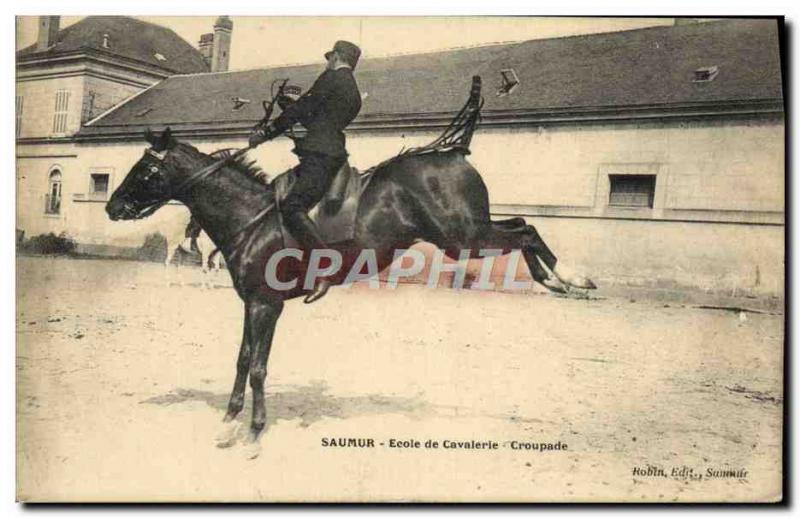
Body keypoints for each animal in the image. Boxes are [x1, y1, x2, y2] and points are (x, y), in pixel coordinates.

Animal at [106, 128, 592, 452]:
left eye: (146, 169)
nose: (113, 206)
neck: (252, 217)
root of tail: (451, 154)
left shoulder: (266, 305)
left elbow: (259, 367)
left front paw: (255, 433)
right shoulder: (252, 304)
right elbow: (243, 361)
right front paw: (228, 425)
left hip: (463, 238)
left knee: (526, 231)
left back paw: (569, 277)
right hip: (469, 233)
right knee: (522, 225)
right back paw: (558, 280)